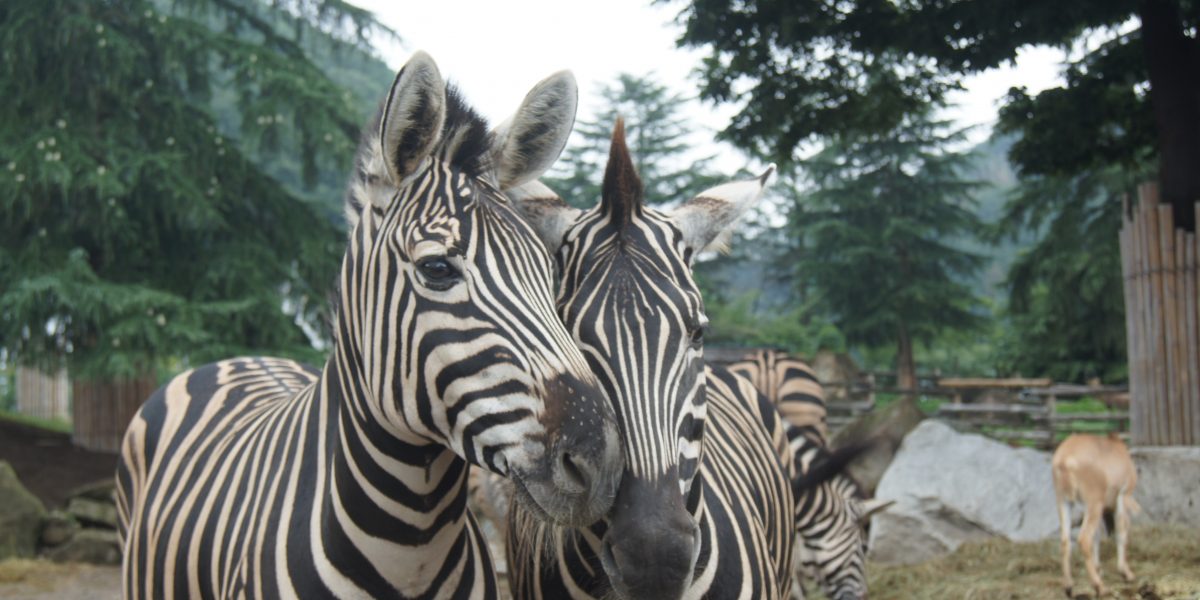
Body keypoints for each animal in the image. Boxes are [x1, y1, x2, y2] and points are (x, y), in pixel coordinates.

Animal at [1051, 432, 1142, 595]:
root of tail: (1064, 460)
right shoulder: (1123, 496)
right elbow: (1121, 533)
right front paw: (1126, 573)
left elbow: (1097, 537)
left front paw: (1099, 568)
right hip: (1093, 504)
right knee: (1084, 539)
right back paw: (1099, 586)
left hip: (1064, 502)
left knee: (1065, 541)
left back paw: (1069, 587)